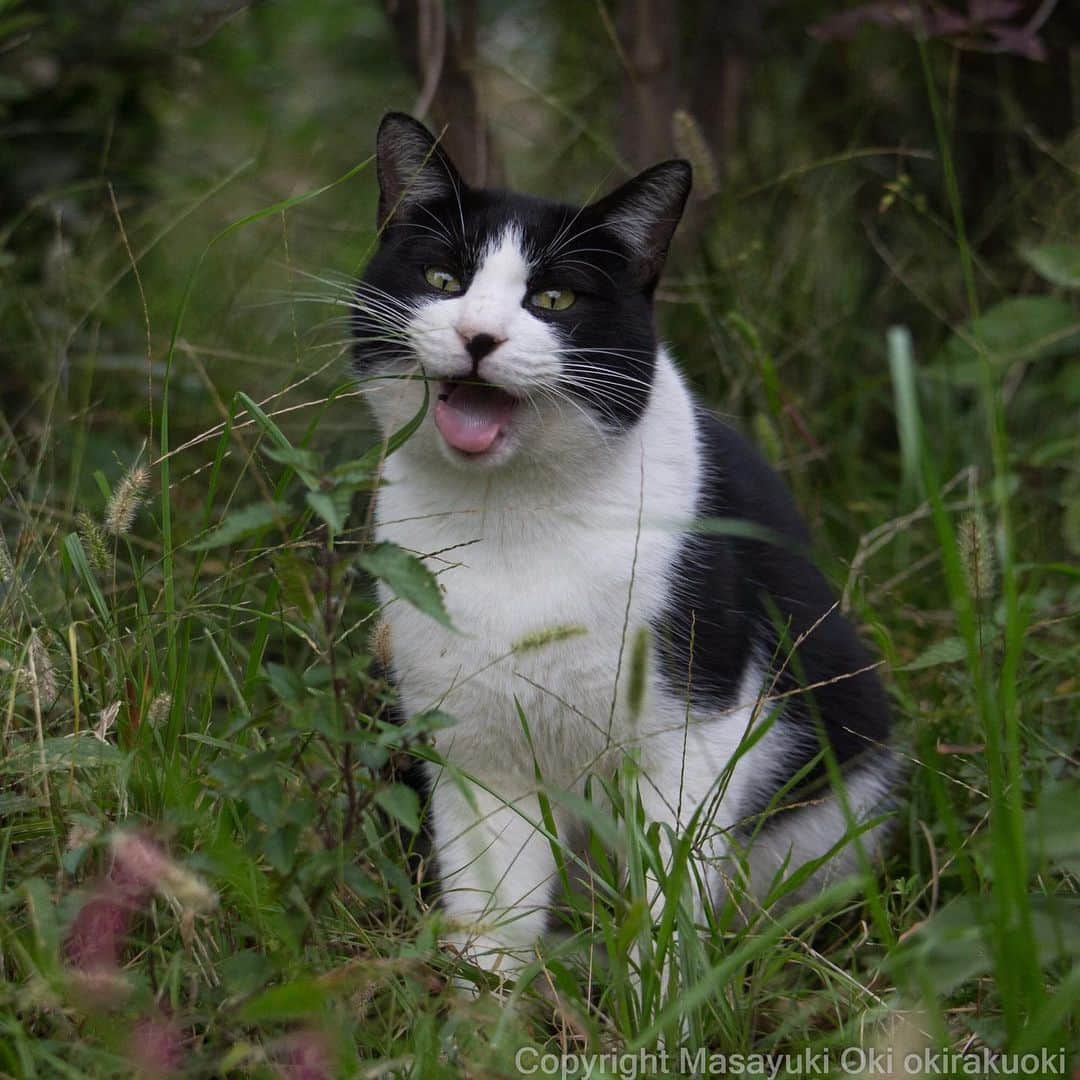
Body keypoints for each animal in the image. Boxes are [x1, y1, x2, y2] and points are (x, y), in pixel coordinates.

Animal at [352, 116, 894, 980]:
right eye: (443, 278)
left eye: (554, 298)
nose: (477, 335)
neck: (514, 518)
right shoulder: (474, 752)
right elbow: (493, 919)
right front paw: (482, 1009)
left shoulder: (694, 735)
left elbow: (668, 908)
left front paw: (662, 1010)